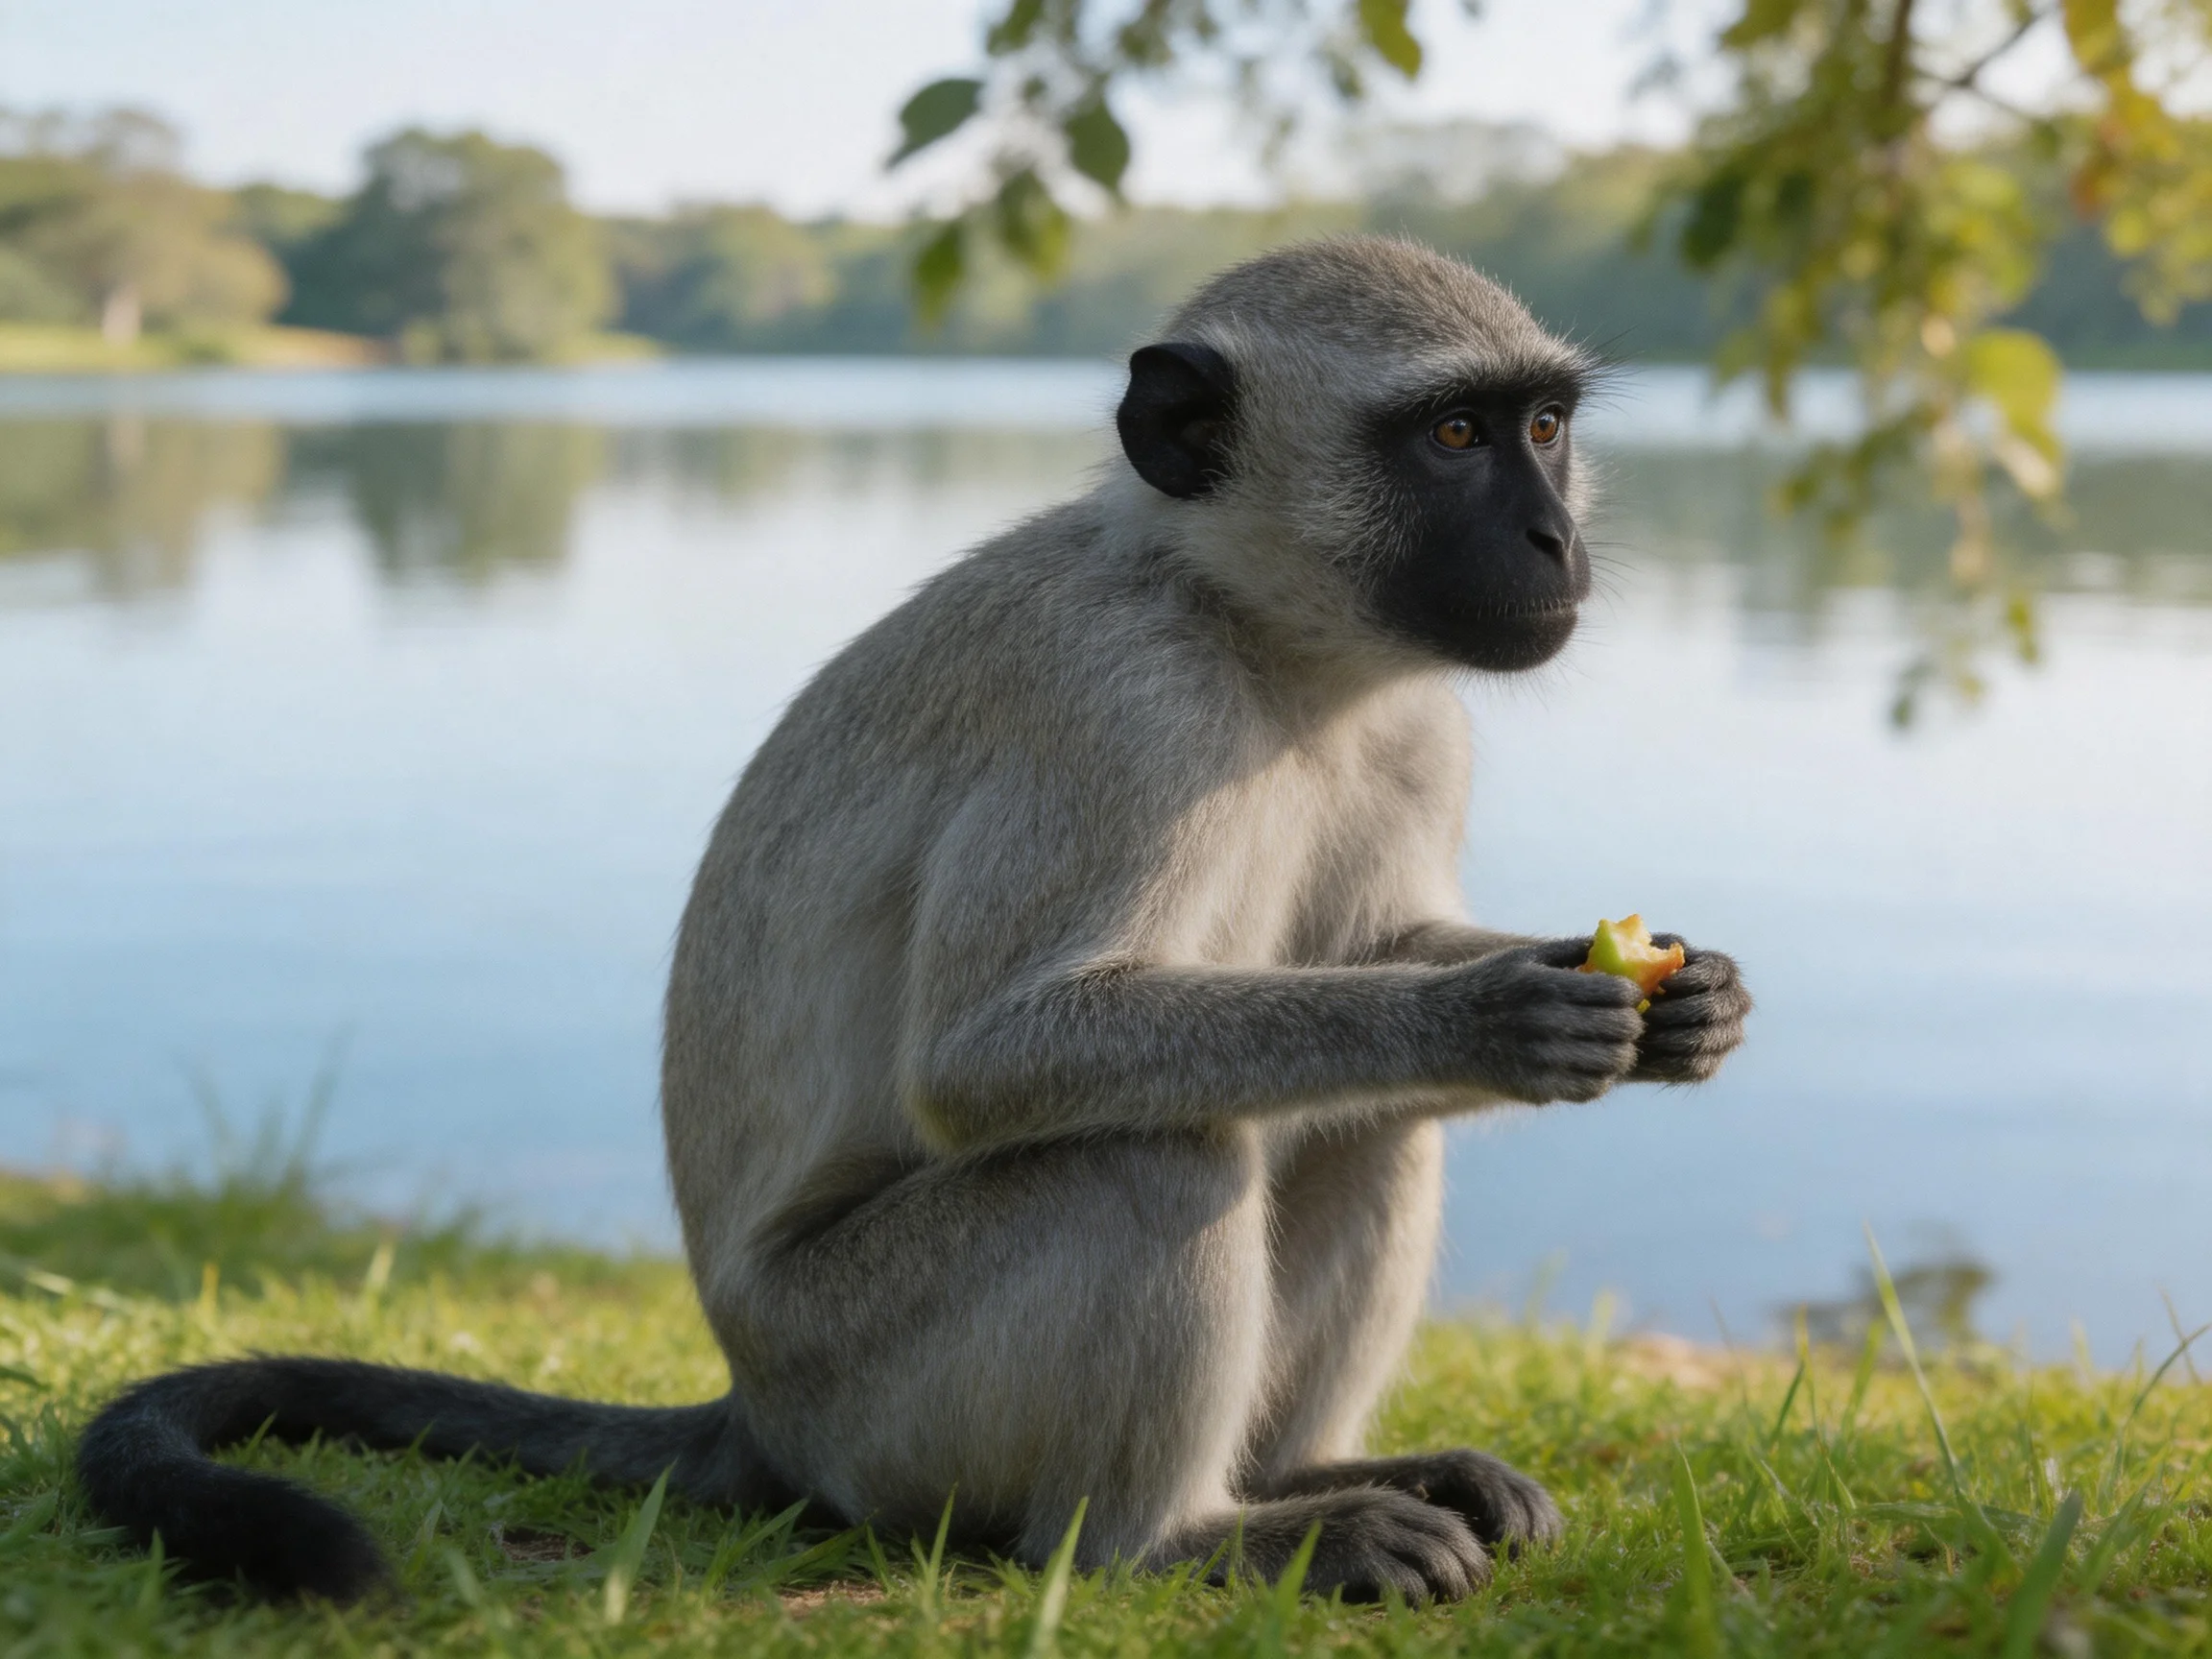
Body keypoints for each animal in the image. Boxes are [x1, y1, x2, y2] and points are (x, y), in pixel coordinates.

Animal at [77, 235, 1750, 1605]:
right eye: (1454, 436)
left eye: (1544, 431)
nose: (1554, 544)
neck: (1256, 641)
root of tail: (757, 1402)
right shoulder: (1117, 705)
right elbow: (988, 1060)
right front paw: (1489, 1013)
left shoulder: (1417, 728)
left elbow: (1369, 963)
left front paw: (1677, 998)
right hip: (874, 1393)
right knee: (1155, 1153)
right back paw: (1186, 1537)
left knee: (1362, 1122)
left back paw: (1301, 1481)